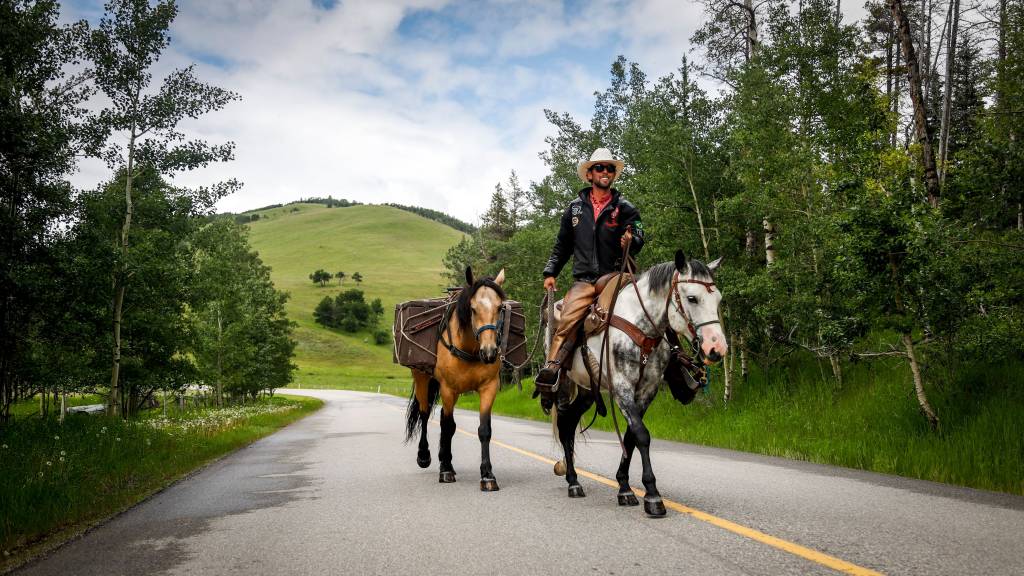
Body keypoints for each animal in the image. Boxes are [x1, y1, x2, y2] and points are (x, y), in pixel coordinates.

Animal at [403, 268, 507, 487]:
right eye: (473, 309)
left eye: (500, 307)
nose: (490, 352)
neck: (469, 348)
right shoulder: (448, 389)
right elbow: (448, 426)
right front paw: (444, 471)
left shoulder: (489, 388)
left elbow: (484, 430)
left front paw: (487, 475)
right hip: (422, 379)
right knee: (426, 414)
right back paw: (425, 456)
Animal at [552, 249, 729, 512]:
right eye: (692, 298)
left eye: (717, 299)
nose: (717, 348)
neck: (642, 327)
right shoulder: (622, 386)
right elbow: (641, 434)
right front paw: (652, 494)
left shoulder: (646, 390)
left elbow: (631, 437)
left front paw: (625, 487)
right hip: (564, 382)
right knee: (564, 423)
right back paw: (573, 482)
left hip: (587, 391)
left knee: (569, 422)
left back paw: (573, 479)